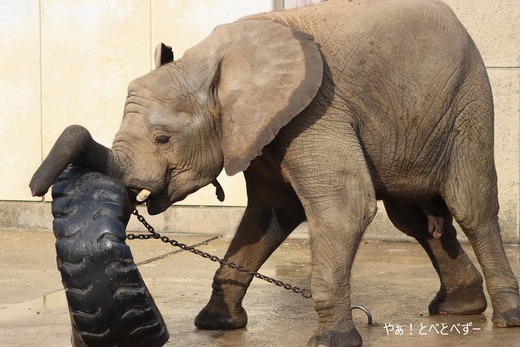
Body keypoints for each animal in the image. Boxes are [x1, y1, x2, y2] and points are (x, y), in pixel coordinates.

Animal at [29, 0, 520, 346]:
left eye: (163, 139)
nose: (35, 188)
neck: (211, 62)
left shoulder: (319, 109)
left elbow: (344, 208)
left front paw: (330, 341)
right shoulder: (258, 130)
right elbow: (269, 214)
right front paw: (215, 324)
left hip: (470, 101)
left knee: (471, 207)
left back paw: (505, 317)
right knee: (415, 219)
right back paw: (457, 310)